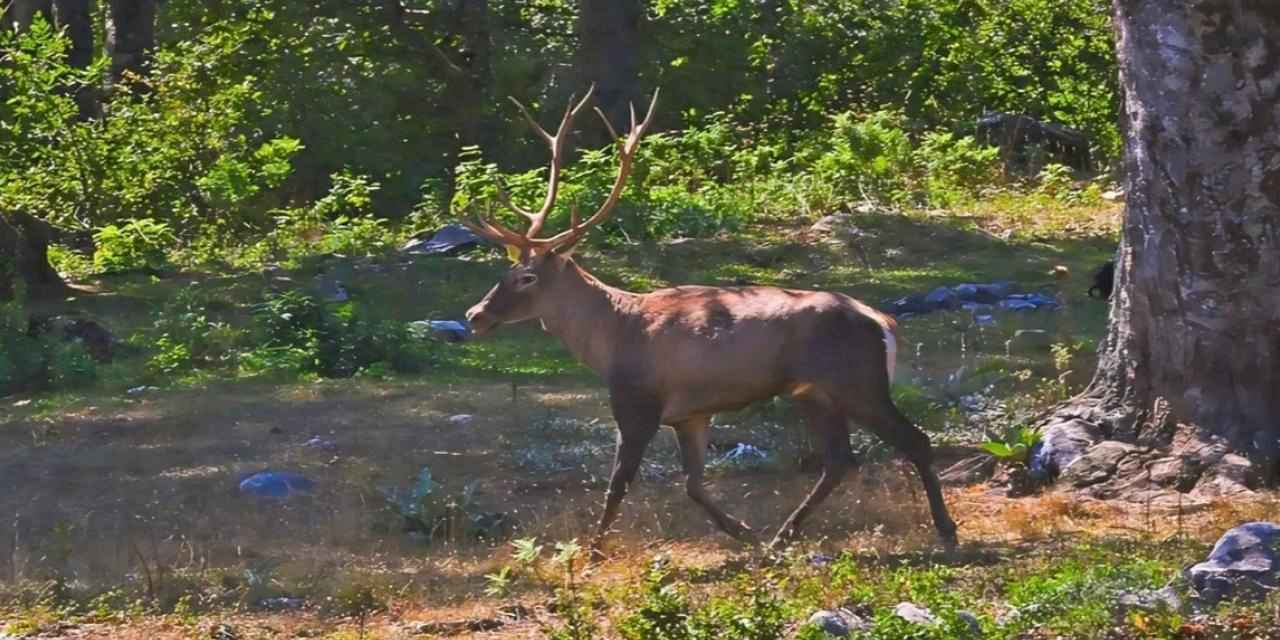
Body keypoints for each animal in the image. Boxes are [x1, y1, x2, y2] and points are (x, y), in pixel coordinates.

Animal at [465, 86, 957, 560]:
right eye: (507, 271)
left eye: (526, 277)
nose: (474, 315)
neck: (611, 338)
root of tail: (884, 322)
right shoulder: (690, 413)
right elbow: (694, 484)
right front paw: (744, 533)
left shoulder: (638, 401)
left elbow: (618, 483)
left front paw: (593, 552)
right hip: (814, 392)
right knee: (840, 460)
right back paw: (781, 537)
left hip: (858, 381)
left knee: (914, 440)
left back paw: (946, 532)